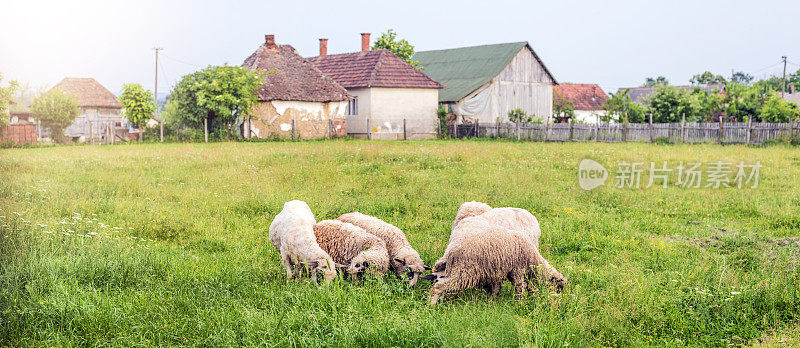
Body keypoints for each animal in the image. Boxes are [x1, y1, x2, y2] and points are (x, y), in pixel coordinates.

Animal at [424, 216, 564, 306]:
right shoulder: (518, 270)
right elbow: (520, 287)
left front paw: (492, 299)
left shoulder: (500, 271)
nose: (557, 303)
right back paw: (431, 305)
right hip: (464, 271)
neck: (533, 260)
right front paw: (520, 303)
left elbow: (497, 287)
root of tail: (450, 252)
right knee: (439, 286)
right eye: (558, 288)